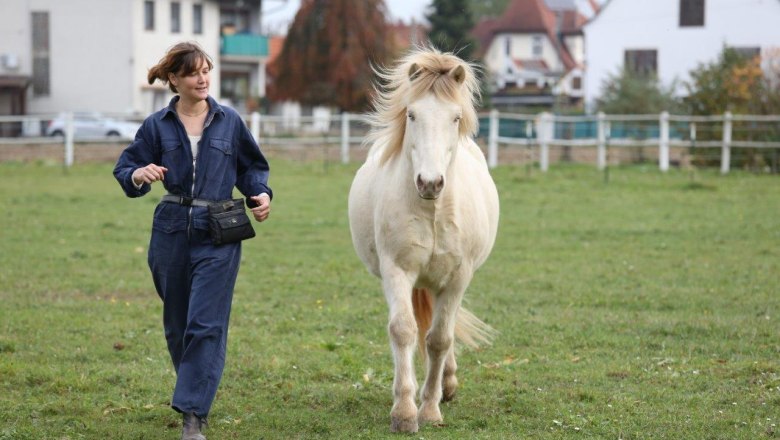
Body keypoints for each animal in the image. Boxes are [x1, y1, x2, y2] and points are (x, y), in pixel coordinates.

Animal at [347, 47, 500, 433]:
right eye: (412, 114)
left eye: (455, 118)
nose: (430, 183)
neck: (433, 210)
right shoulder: (397, 271)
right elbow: (403, 330)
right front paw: (404, 411)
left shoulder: (458, 277)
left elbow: (440, 338)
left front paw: (429, 409)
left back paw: (447, 384)